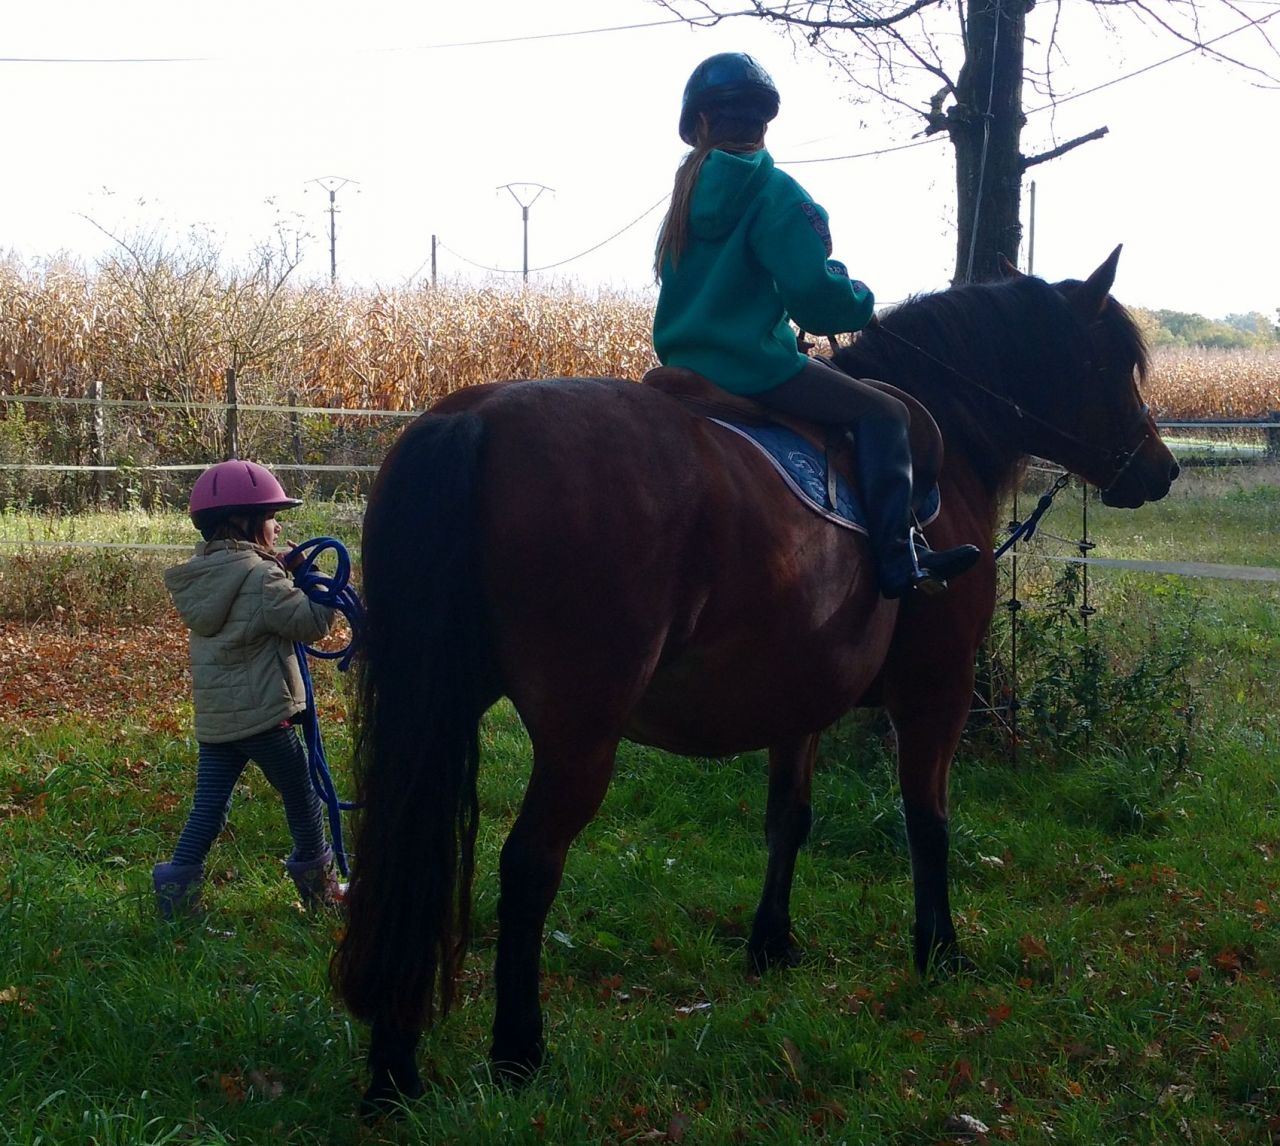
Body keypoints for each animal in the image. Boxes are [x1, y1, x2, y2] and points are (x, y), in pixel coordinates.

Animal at [332, 248, 1179, 1110]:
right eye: (1113, 364)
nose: (1162, 468)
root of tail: (474, 419)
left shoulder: (802, 693)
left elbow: (789, 818)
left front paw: (771, 942)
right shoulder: (937, 688)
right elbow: (927, 820)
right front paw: (939, 949)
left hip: (436, 708)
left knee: (411, 853)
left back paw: (394, 1067)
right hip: (581, 734)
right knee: (529, 865)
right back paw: (517, 1050)